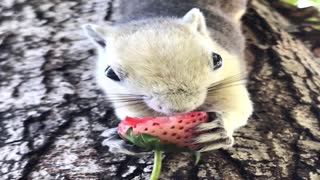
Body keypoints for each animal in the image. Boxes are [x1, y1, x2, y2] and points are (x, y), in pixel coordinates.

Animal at [82, 0, 252, 155]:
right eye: (110, 73)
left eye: (217, 59)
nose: (180, 108)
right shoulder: (122, 99)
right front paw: (120, 139)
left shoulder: (230, 80)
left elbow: (239, 108)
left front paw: (219, 128)